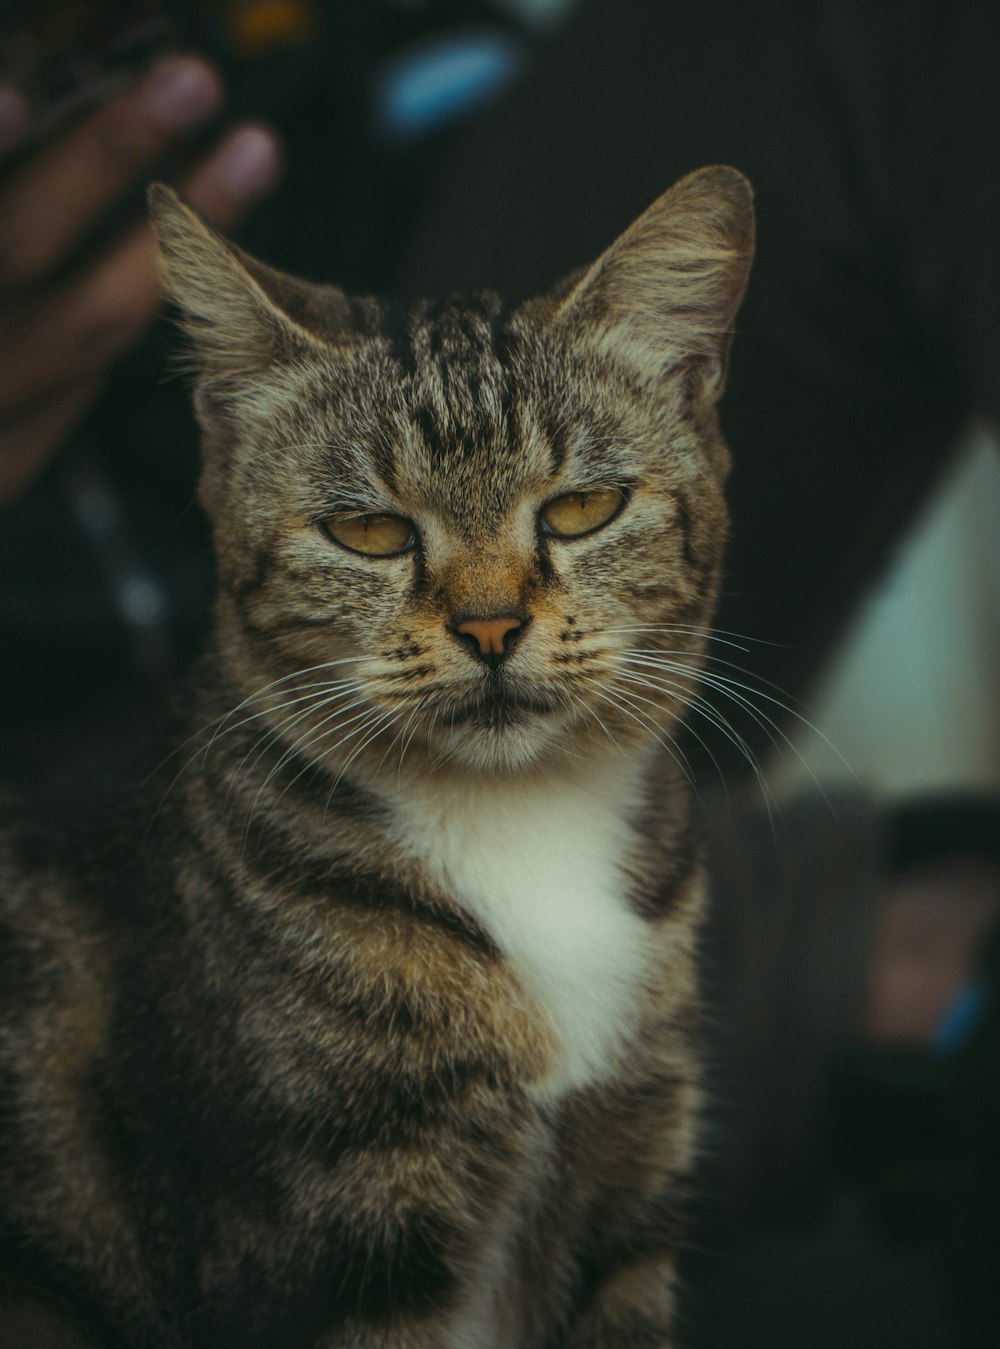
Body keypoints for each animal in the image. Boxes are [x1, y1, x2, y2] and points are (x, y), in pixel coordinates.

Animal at [0, 163, 750, 1343]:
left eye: (583, 508)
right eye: (368, 532)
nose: (489, 626)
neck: (515, 825)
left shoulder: (628, 1178)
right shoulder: (328, 1234)